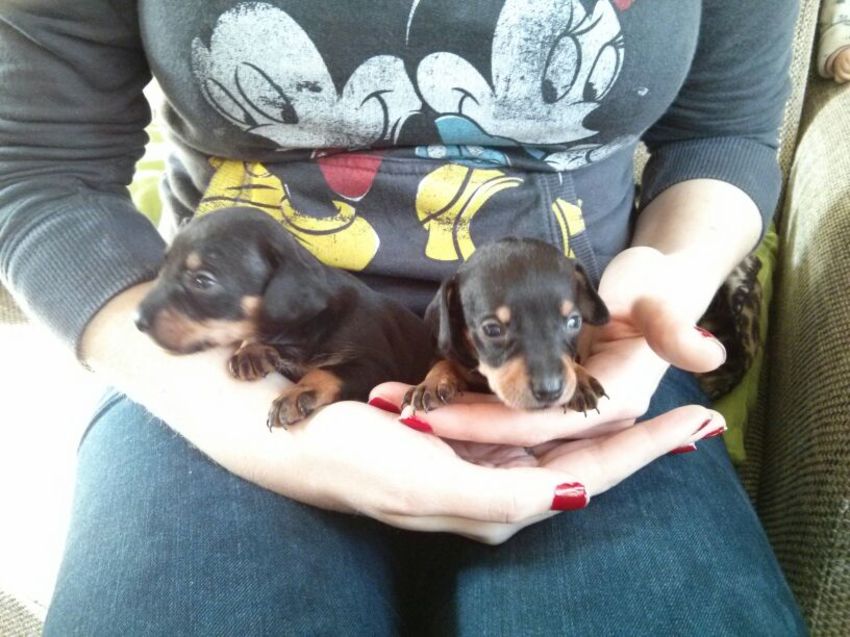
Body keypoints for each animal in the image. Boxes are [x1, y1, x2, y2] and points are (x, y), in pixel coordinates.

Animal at [135, 206, 434, 429]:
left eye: (202, 281)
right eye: (164, 266)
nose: (137, 321)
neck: (304, 328)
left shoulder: (374, 364)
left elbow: (324, 371)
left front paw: (296, 395)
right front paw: (250, 351)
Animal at [404, 237, 610, 414]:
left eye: (574, 322)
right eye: (492, 330)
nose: (550, 391)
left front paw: (580, 380)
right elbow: (444, 361)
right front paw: (432, 382)